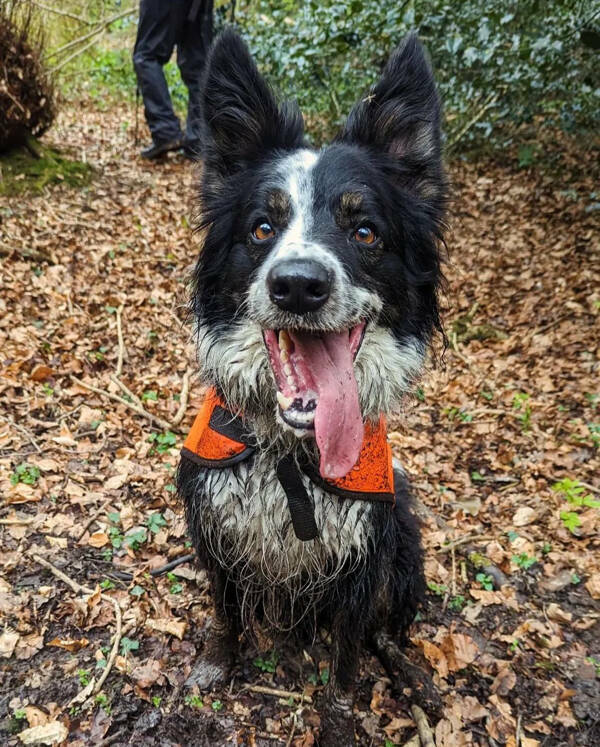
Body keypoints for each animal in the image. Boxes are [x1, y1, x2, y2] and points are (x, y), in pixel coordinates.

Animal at [178, 27, 446, 744]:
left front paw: (340, 723)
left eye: (365, 231)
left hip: (404, 539)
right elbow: (225, 609)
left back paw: (412, 675)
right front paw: (218, 663)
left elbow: (349, 660)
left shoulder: (362, 556)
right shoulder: (216, 526)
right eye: (262, 228)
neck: (291, 454)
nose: (297, 284)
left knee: (388, 631)